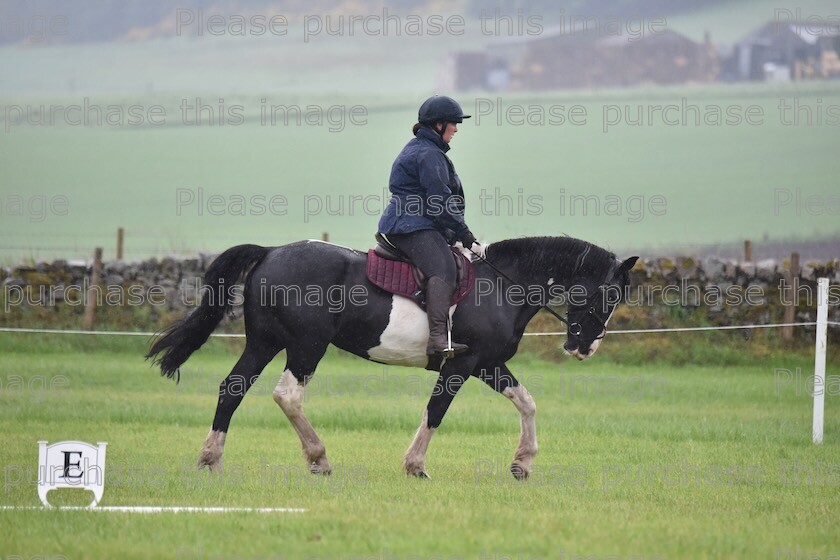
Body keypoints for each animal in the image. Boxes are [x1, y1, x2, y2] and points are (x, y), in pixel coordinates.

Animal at [149, 237, 636, 482]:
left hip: (264, 343)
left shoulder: (488, 364)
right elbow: (436, 410)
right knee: (287, 395)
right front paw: (415, 465)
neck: (501, 284)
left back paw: (211, 459)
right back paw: (319, 459)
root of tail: (270, 252)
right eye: (610, 295)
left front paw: (522, 463)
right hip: (306, 346)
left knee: (232, 389)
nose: (585, 348)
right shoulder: (462, 364)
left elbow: (527, 403)